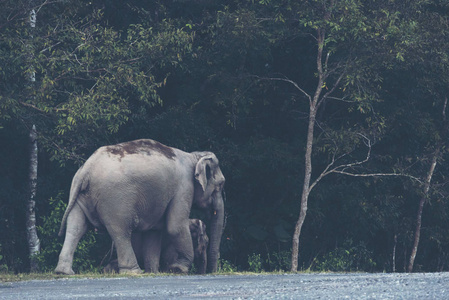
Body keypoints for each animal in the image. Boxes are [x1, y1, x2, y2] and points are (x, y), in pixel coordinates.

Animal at [54, 138, 226, 274]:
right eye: (221, 184)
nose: (212, 272)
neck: (193, 157)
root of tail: (86, 169)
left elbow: (154, 231)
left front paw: (154, 272)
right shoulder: (184, 187)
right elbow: (175, 226)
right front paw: (178, 269)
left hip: (81, 194)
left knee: (76, 226)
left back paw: (64, 272)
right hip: (115, 199)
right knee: (121, 231)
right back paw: (134, 272)